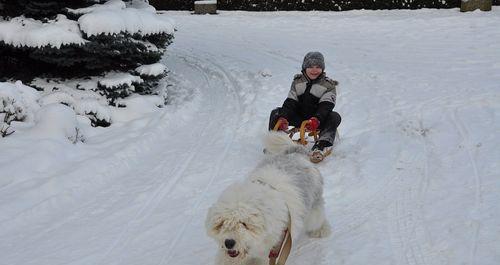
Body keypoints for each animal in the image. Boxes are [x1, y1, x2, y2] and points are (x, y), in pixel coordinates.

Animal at [205, 132, 330, 264]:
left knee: (317, 219)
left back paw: (321, 230)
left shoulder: (270, 249)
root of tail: (295, 153)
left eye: (244, 224)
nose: (229, 243)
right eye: (222, 223)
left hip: (313, 208)